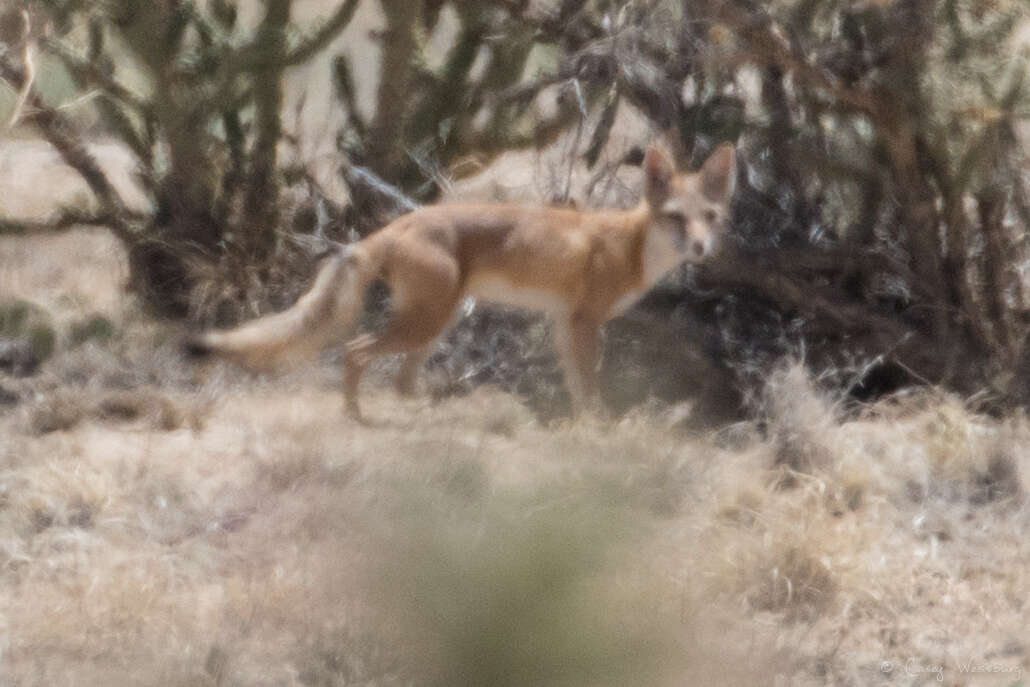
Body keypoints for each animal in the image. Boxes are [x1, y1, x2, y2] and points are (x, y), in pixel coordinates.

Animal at [185, 143, 733, 422]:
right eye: (676, 218)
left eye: (709, 217)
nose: (701, 248)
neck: (631, 243)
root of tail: (395, 226)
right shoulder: (585, 322)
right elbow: (592, 387)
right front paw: (601, 430)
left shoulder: (564, 323)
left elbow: (577, 389)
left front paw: (581, 428)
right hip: (426, 323)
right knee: (356, 352)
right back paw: (356, 416)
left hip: (438, 323)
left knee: (401, 381)